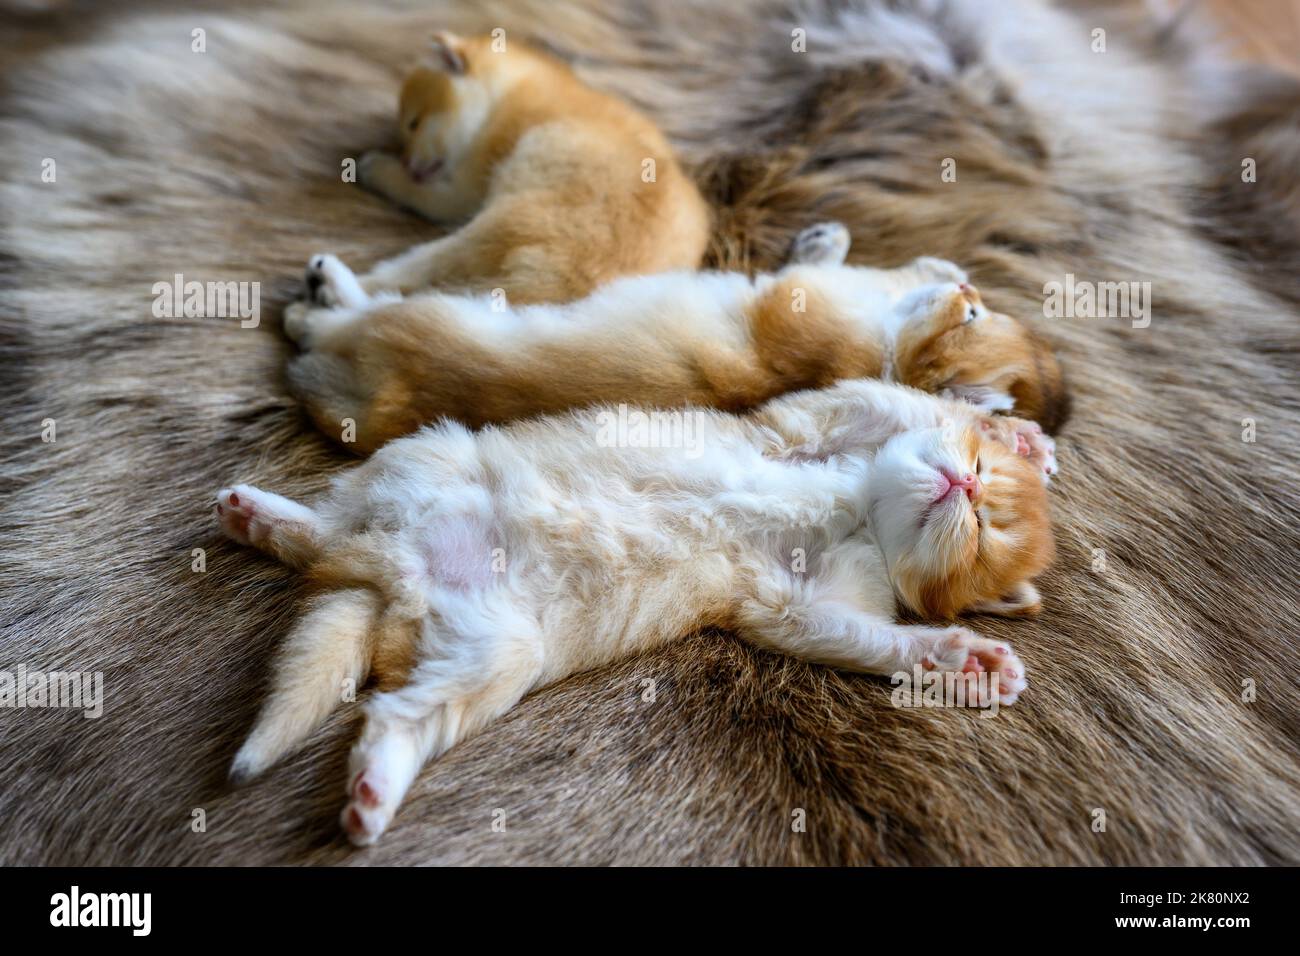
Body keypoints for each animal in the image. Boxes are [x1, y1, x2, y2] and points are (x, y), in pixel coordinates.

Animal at [284, 222, 1066, 455]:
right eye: (977, 315)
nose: (971, 294)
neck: (881, 357)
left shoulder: (803, 298)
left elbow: (864, 272)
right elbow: (875, 271)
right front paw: (937, 267)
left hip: (429, 315)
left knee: (337, 320)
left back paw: (319, 292)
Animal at [312, 32, 712, 303]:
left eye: (413, 124)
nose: (408, 161)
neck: (510, 92)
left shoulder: (464, 187)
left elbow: (421, 193)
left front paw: (377, 167)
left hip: (490, 230)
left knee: (397, 285)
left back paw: (324, 289)